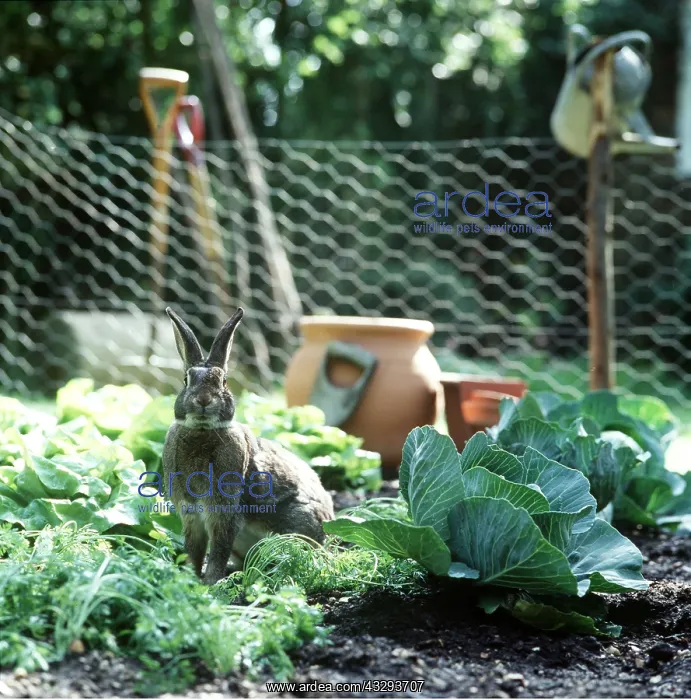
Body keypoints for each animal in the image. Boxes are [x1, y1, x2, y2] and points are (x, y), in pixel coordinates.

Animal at [162, 306, 335, 584]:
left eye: (223, 382)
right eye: (186, 380)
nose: (203, 400)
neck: (201, 431)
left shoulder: (223, 510)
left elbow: (218, 548)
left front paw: (209, 583)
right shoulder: (190, 513)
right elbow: (193, 548)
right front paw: (189, 578)